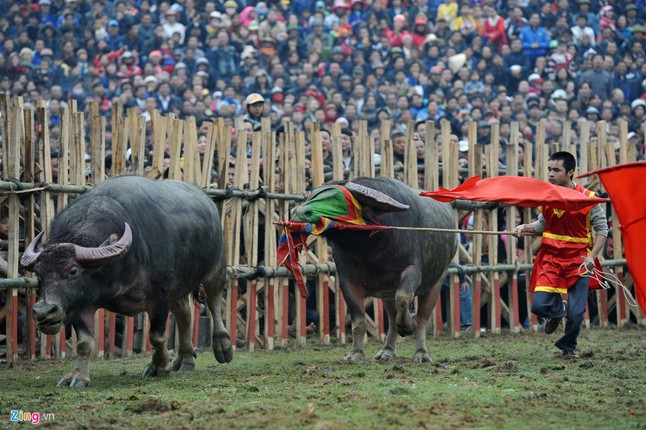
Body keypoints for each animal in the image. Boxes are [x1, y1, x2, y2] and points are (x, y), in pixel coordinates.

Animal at [21, 175, 234, 386]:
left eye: (73, 271)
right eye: (39, 275)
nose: (43, 311)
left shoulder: (159, 296)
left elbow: (156, 336)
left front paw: (159, 366)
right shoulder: (80, 304)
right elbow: (83, 343)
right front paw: (78, 376)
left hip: (216, 267)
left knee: (214, 302)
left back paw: (223, 347)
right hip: (177, 287)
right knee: (185, 314)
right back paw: (185, 359)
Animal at [292, 177, 458, 362]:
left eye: (336, 201)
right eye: (311, 197)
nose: (298, 213)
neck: (371, 249)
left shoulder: (412, 270)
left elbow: (403, 298)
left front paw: (408, 325)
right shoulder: (348, 281)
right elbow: (359, 320)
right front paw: (355, 354)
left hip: (437, 281)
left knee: (422, 318)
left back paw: (421, 352)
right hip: (386, 292)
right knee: (392, 318)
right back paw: (387, 351)